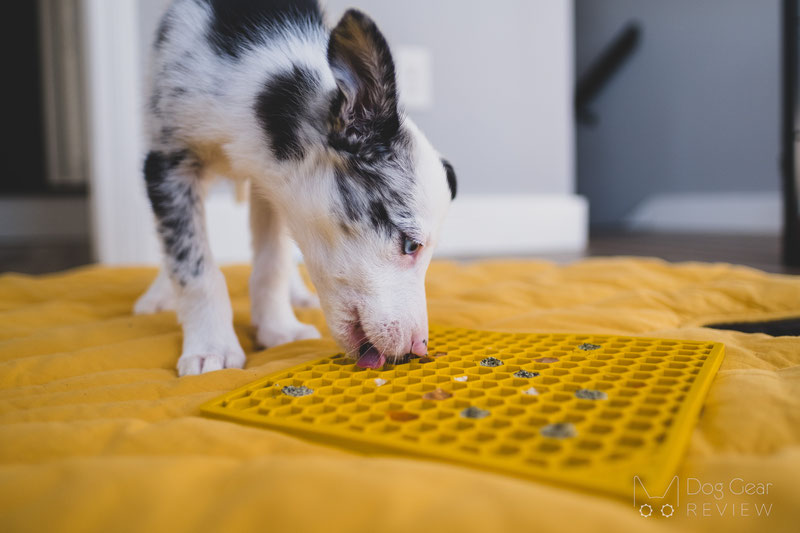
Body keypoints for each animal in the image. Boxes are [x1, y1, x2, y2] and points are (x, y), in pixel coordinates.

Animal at [136, 0, 456, 374]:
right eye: (410, 245)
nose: (417, 348)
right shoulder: (169, 162)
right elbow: (193, 267)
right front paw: (211, 347)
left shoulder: (273, 187)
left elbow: (273, 262)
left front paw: (278, 328)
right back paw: (158, 295)